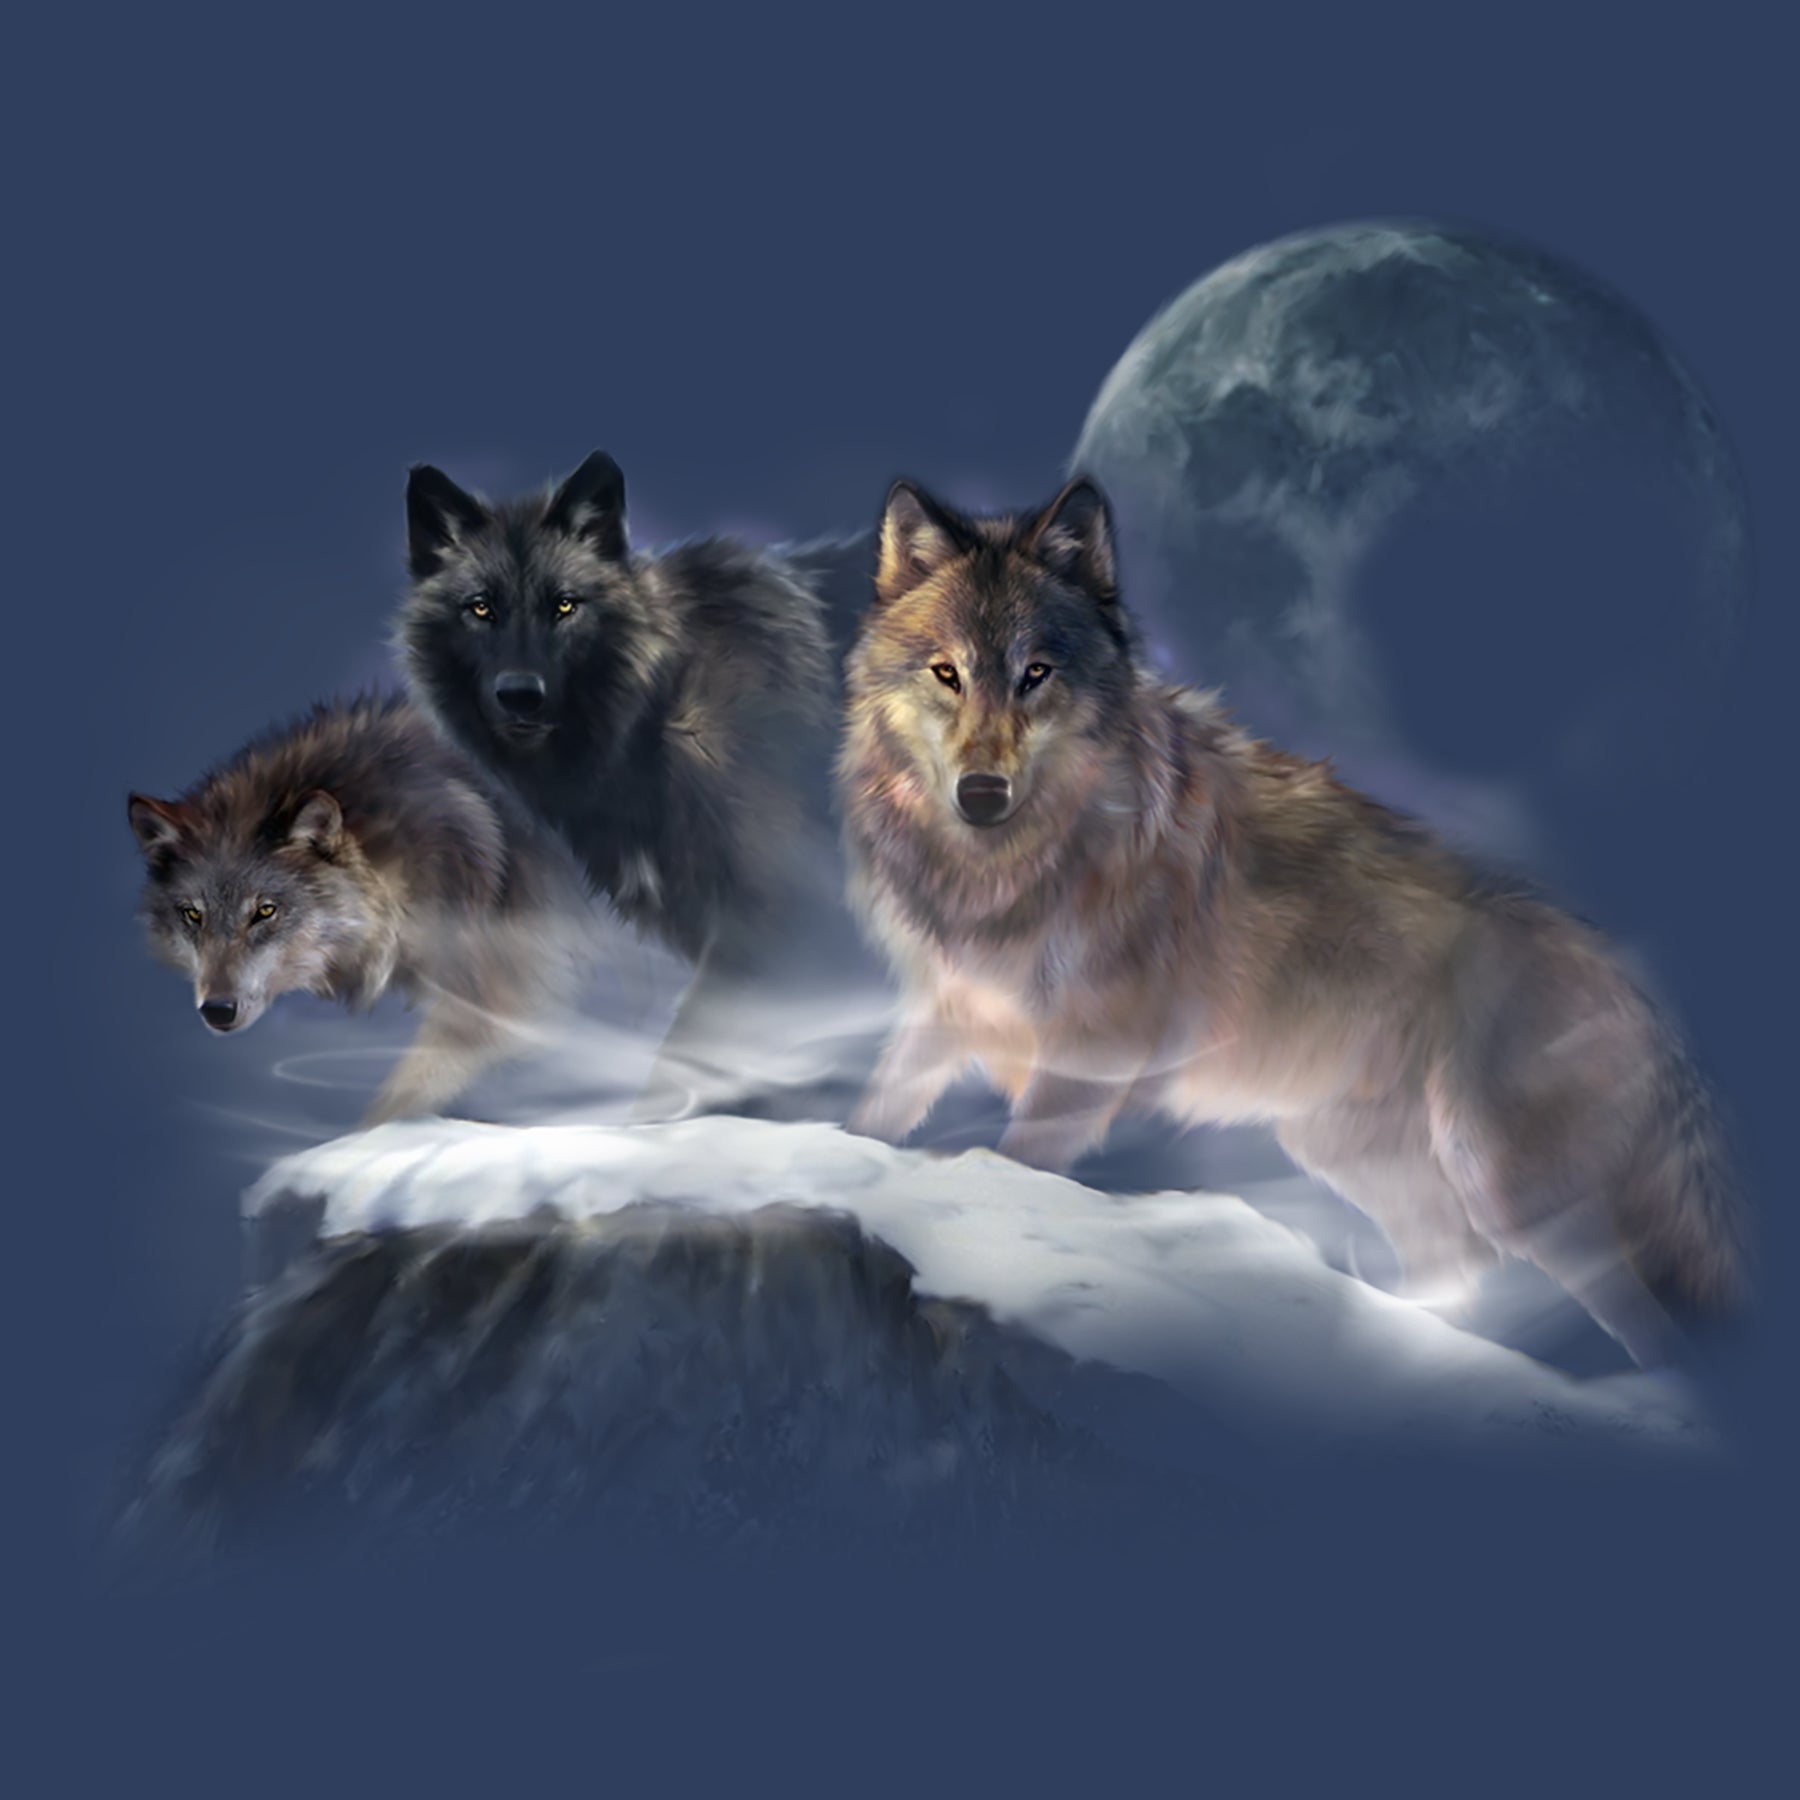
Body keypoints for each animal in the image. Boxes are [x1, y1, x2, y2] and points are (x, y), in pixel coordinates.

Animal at [837, 475, 1745, 1366]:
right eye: (946, 673)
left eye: (1036, 673)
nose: (982, 794)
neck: (1007, 866)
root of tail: (1633, 983)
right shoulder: (950, 1008)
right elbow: (874, 1114)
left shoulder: (1094, 1054)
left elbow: (1014, 1162)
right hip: (1351, 1155)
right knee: (1456, 1266)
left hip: (1511, 1190)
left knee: (1649, 1327)